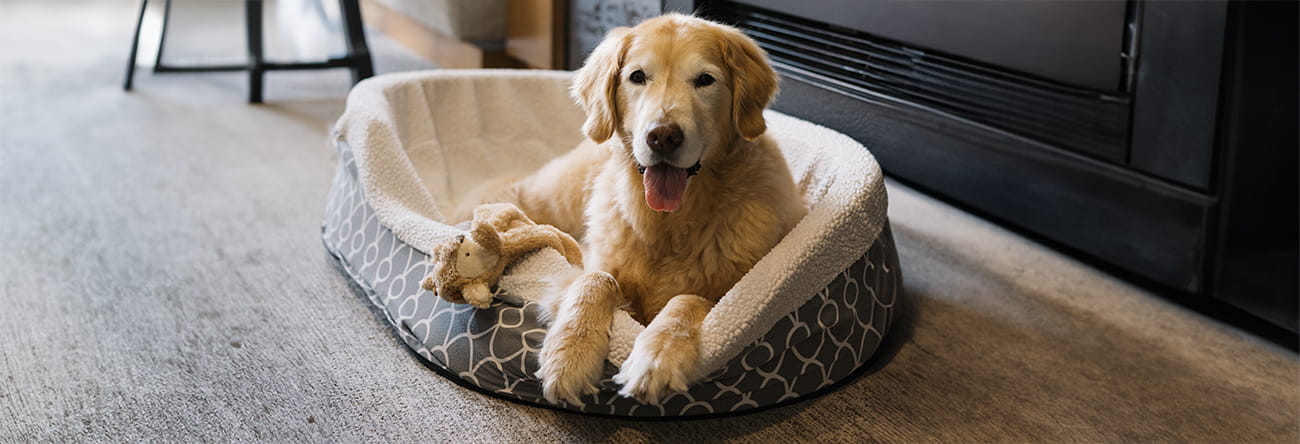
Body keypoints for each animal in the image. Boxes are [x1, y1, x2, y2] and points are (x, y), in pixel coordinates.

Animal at [454, 13, 800, 405]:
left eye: (704, 80)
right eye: (637, 76)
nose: (662, 136)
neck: (669, 221)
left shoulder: (730, 291)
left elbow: (687, 299)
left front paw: (657, 357)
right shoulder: (586, 262)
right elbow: (596, 279)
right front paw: (570, 354)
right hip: (556, 193)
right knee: (516, 196)